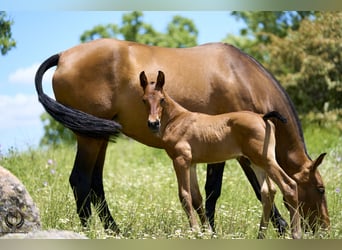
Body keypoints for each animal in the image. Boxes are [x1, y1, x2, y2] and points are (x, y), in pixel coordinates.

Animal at [140, 71, 302, 239]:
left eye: (162, 99)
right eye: (144, 100)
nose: (153, 123)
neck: (177, 119)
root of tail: (262, 117)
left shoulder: (180, 160)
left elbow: (185, 195)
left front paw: (195, 230)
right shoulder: (191, 164)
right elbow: (197, 197)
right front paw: (207, 231)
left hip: (265, 160)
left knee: (288, 185)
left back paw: (296, 233)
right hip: (256, 162)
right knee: (268, 192)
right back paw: (260, 235)